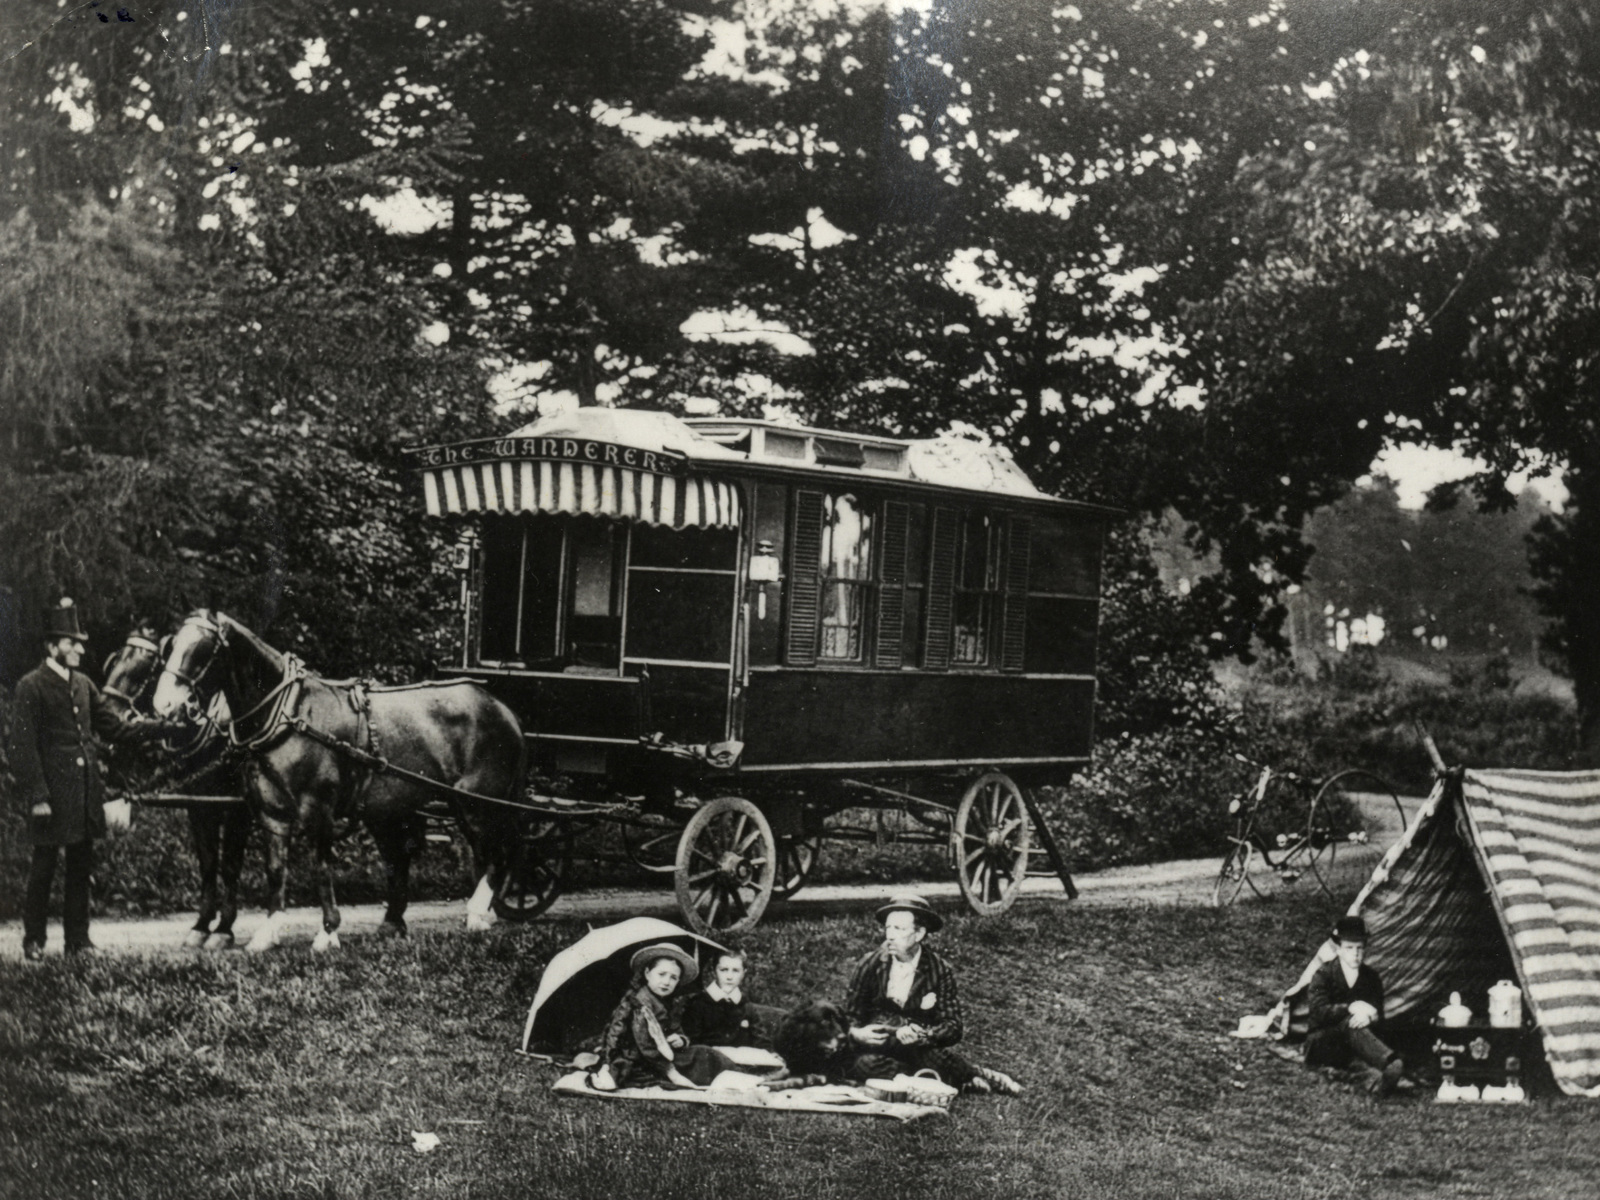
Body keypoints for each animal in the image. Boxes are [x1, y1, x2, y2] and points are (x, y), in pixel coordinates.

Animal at [100, 630, 251, 947]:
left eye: (144, 671)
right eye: (114, 663)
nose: (103, 714)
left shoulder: (237, 808)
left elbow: (231, 865)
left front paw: (224, 928)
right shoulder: (199, 805)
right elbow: (208, 863)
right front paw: (202, 924)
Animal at [149, 614, 524, 953]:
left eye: (202, 650)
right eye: (171, 646)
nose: (165, 705)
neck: (290, 715)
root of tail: (503, 709)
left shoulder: (318, 810)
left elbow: (321, 867)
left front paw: (327, 932)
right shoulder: (271, 813)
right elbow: (275, 870)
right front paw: (267, 933)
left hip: (476, 803)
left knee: (498, 854)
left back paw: (476, 914)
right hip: (411, 809)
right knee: (424, 856)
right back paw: (407, 922)